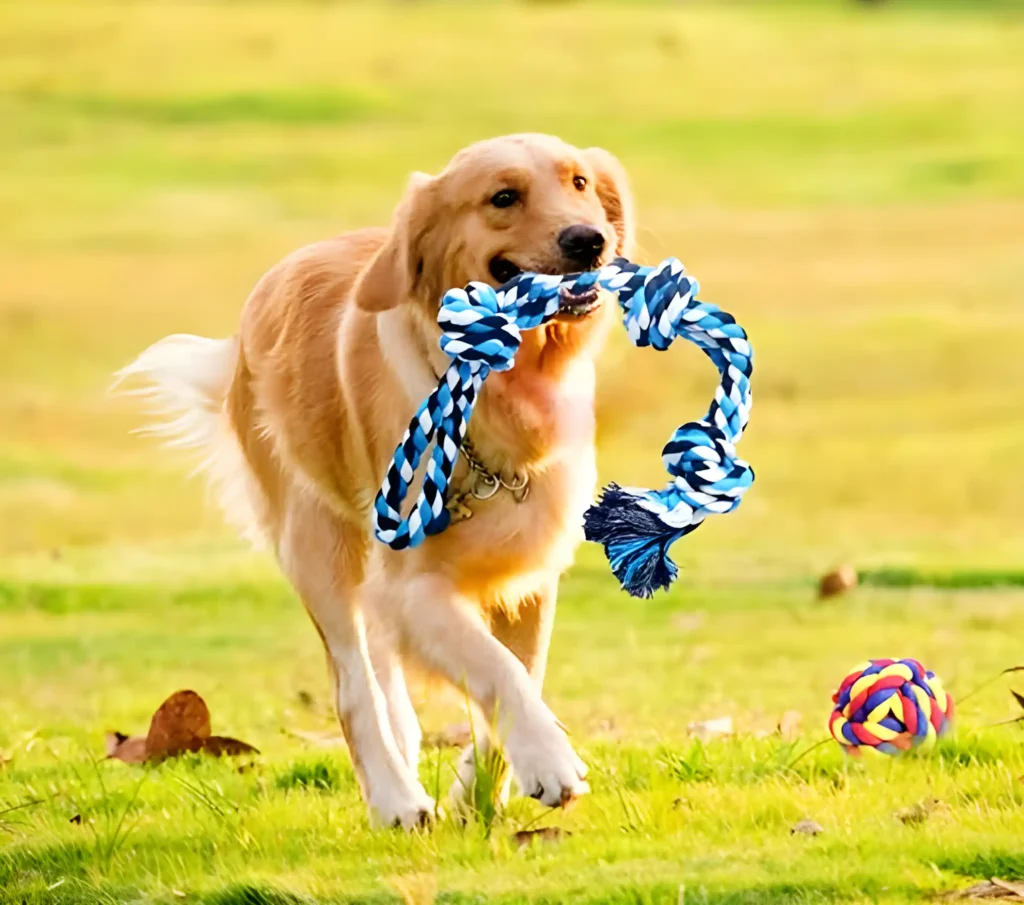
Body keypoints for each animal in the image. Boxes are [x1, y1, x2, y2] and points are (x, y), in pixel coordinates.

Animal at [119, 132, 630, 827]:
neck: (502, 391)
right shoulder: (413, 587)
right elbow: (497, 670)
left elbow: (521, 670)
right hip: (317, 546)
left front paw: (477, 790)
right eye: (503, 197)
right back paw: (394, 798)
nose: (589, 240)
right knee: (353, 687)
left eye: (579, 183)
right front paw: (549, 762)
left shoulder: (527, 572)